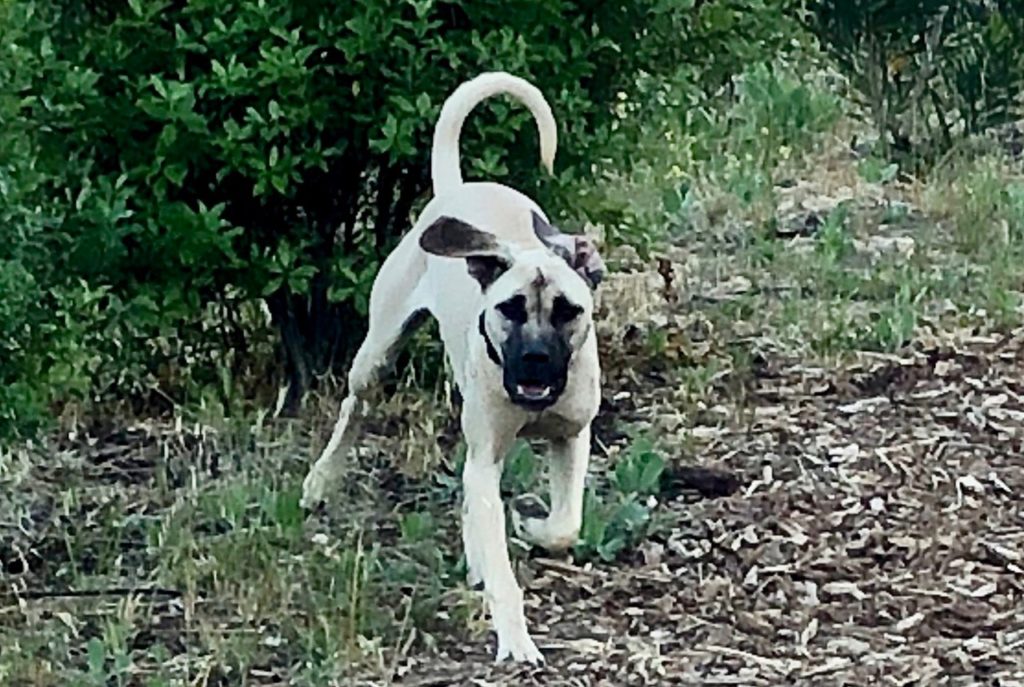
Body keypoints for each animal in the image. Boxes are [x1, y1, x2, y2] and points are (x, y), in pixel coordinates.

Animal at [303, 72, 606, 663]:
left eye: (568, 311)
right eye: (510, 308)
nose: (535, 360)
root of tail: (454, 189)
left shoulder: (572, 435)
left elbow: (565, 522)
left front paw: (533, 526)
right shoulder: (488, 457)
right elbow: (501, 554)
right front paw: (515, 638)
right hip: (376, 353)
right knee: (354, 409)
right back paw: (320, 480)